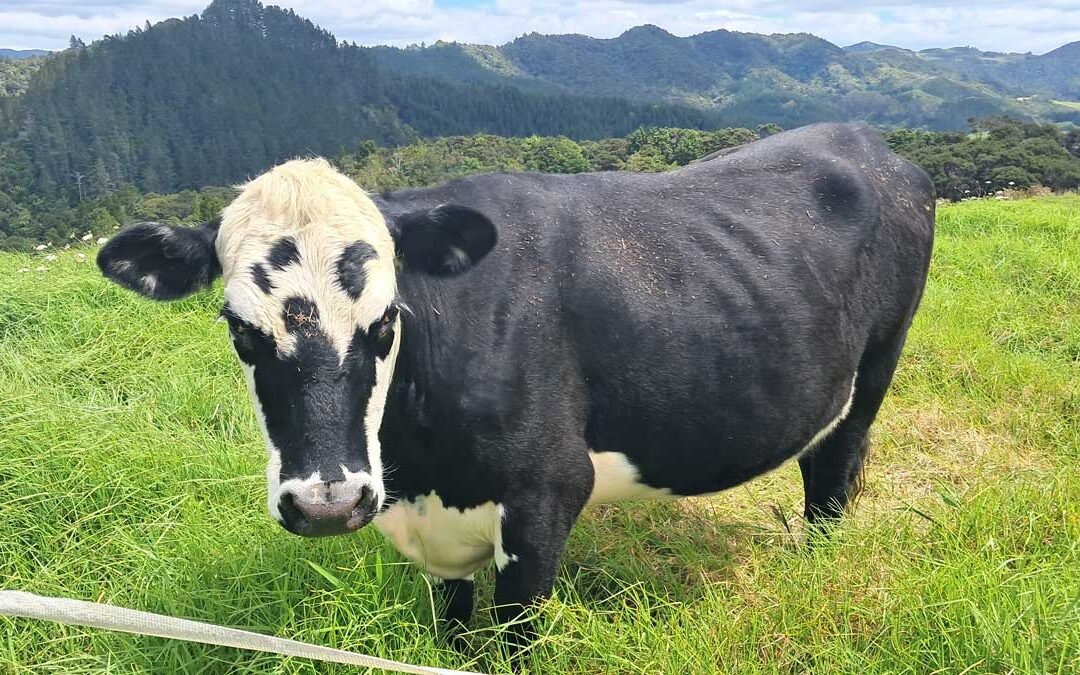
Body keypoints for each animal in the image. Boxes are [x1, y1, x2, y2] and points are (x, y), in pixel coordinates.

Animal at [97, 123, 935, 645]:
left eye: (386, 321)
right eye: (240, 328)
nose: (329, 503)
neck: (418, 472)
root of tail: (867, 140)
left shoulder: (545, 495)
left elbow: (515, 640)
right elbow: (454, 630)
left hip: (874, 372)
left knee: (832, 474)